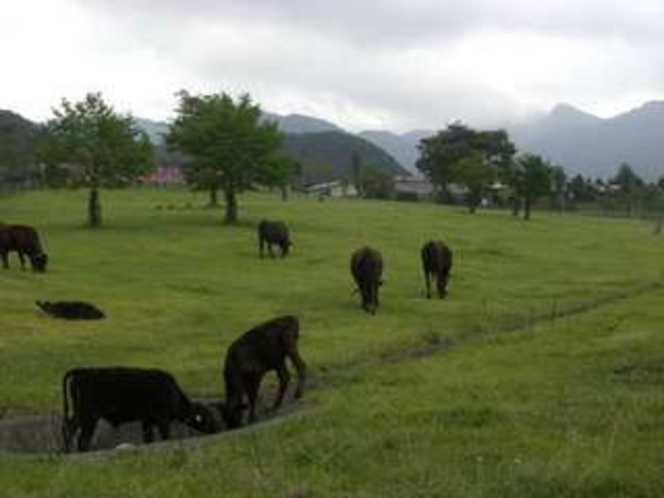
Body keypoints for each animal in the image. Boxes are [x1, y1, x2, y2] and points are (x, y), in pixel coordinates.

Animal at [61, 366, 220, 452]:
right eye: (209, 417)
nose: (218, 429)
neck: (173, 392)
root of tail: (82, 371)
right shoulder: (163, 419)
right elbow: (165, 437)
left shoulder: (147, 420)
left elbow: (148, 439)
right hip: (88, 416)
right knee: (80, 437)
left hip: (80, 414)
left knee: (69, 428)